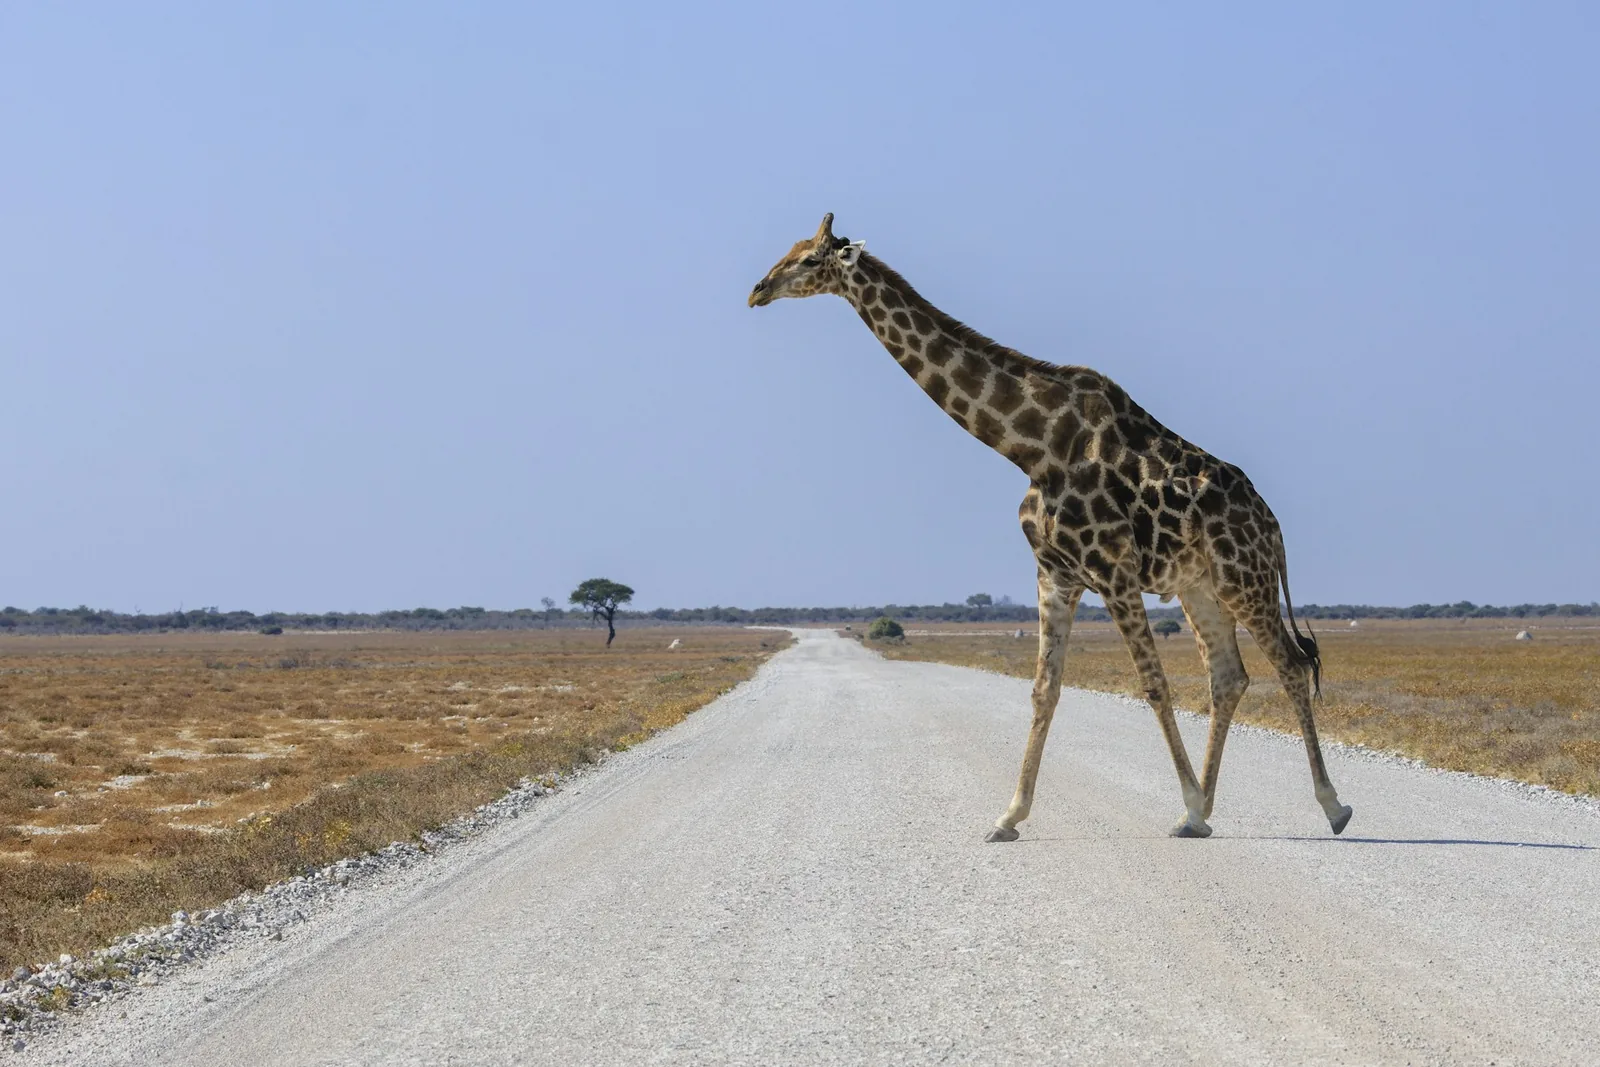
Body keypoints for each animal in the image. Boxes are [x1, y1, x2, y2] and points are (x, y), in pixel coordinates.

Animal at [749, 214, 1353, 841]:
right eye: (791, 251)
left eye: (809, 259)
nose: (757, 290)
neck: (1031, 447)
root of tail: (1273, 525)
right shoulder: (1054, 574)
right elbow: (1044, 690)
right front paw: (1009, 815)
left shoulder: (1112, 571)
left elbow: (1153, 684)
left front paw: (1185, 799)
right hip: (1199, 587)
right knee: (1229, 677)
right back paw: (1201, 817)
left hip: (1244, 577)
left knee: (1290, 664)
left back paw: (1329, 805)